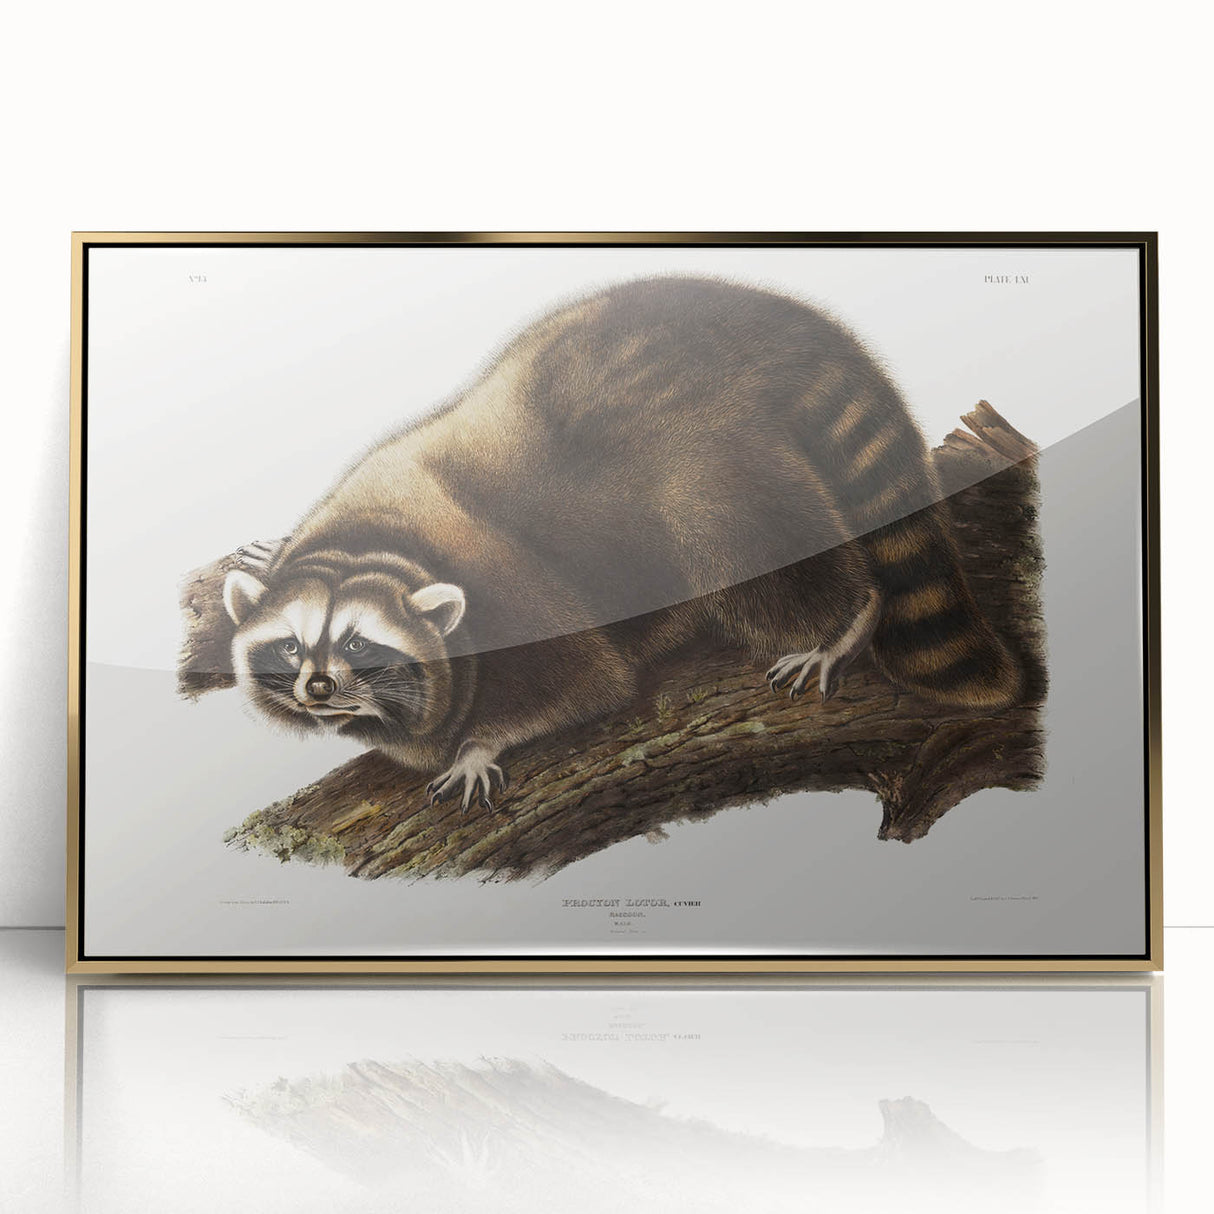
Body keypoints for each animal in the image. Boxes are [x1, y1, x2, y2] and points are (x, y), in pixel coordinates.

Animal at [223, 277, 1021, 811]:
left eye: (359, 643)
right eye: (292, 645)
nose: (319, 690)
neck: (374, 544)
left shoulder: (513, 593)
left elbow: (586, 683)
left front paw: (481, 743)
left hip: (709, 457)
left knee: (745, 543)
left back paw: (844, 619)